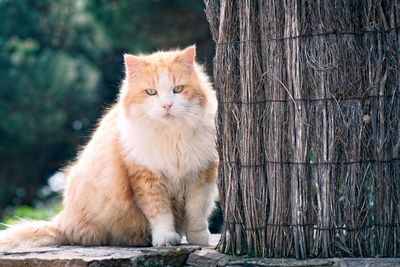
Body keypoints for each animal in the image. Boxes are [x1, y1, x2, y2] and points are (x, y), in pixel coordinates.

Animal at [0, 45, 219, 249]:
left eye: (178, 89)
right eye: (151, 92)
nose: (167, 106)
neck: (172, 136)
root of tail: (62, 223)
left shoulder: (201, 176)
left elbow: (196, 214)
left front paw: (200, 240)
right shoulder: (146, 178)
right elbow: (160, 213)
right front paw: (165, 239)